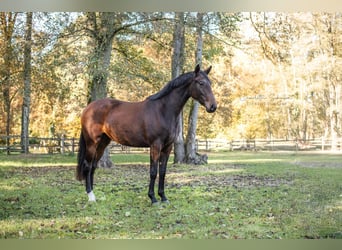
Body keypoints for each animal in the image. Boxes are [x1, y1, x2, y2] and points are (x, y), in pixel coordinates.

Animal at [76, 65, 218, 205]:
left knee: (93, 166)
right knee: (88, 166)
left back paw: (95, 195)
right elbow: (153, 171)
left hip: (103, 143)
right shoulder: (155, 145)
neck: (163, 110)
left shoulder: (168, 147)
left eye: (210, 83)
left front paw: (163, 197)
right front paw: (153, 198)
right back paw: (91, 196)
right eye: (201, 83)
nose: (213, 106)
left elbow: (162, 171)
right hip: (92, 143)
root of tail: (88, 108)